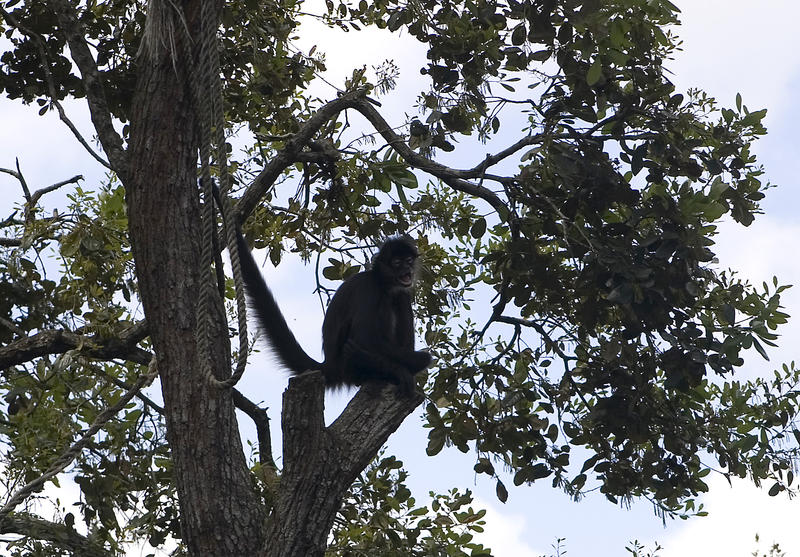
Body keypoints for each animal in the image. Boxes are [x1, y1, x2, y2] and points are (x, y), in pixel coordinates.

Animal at [231, 219, 432, 394]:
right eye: (397, 263)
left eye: (408, 260)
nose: (407, 270)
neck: (383, 283)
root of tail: (332, 365)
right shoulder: (368, 288)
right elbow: (365, 338)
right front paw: (401, 368)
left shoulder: (403, 293)